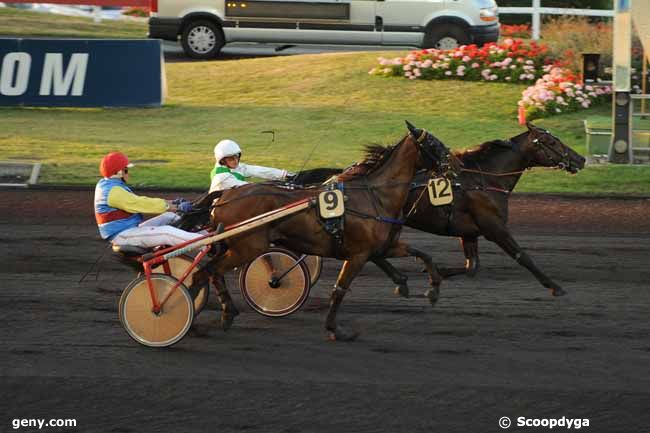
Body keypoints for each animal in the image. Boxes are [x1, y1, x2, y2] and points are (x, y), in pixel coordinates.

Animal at [195, 121, 458, 340]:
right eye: (433, 143)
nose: (454, 165)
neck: (374, 196)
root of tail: (223, 198)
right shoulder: (358, 254)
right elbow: (339, 289)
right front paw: (335, 329)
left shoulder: (380, 246)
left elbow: (422, 254)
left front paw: (426, 288)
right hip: (247, 247)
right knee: (208, 271)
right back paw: (214, 315)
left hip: (235, 246)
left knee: (206, 272)